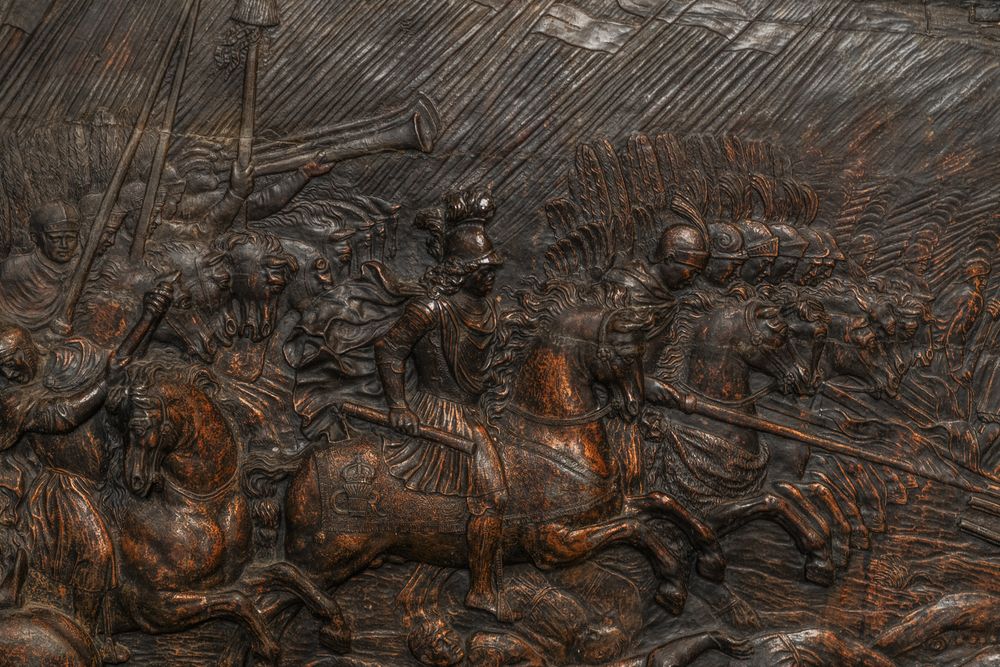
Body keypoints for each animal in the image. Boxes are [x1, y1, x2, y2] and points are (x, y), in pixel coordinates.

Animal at [104, 362, 348, 664]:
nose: (135, 480)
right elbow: (236, 601)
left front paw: (334, 621)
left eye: (137, 427)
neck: (200, 508)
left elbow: (285, 571)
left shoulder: (233, 578)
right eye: (120, 427)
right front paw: (266, 646)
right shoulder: (154, 605)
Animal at [282, 290, 728, 648]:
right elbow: (637, 528)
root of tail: (306, 469)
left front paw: (711, 555)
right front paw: (673, 584)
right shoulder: (553, 541)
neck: (553, 441)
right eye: (623, 355)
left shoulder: (609, 507)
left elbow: (664, 501)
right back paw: (340, 626)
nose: (635, 406)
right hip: (331, 554)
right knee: (281, 576)